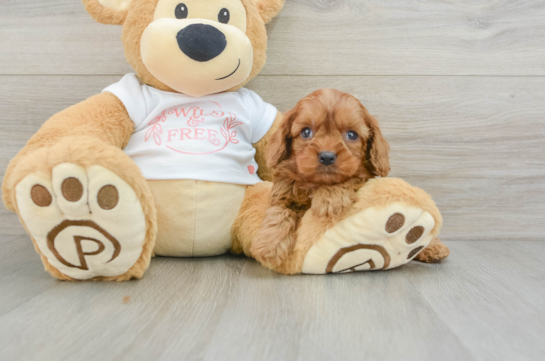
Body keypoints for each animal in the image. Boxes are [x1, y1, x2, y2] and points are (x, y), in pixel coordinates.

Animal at [251, 88, 392, 266]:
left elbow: (351, 178)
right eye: (306, 132)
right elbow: (279, 211)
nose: (327, 157)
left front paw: (329, 197)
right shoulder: (283, 193)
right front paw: (270, 246)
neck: (315, 184)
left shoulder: (362, 176)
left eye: (352, 135)